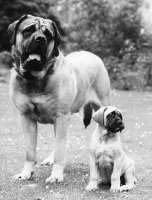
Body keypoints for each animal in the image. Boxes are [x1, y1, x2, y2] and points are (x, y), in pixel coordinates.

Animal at [7, 14, 110, 183]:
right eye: (28, 30)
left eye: (48, 35)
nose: (40, 39)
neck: (35, 78)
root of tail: (92, 54)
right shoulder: (26, 118)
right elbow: (30, 151)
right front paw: (26, 173)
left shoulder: (61, 117)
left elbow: (60, 150)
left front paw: (56, 175)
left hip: (102, 106)